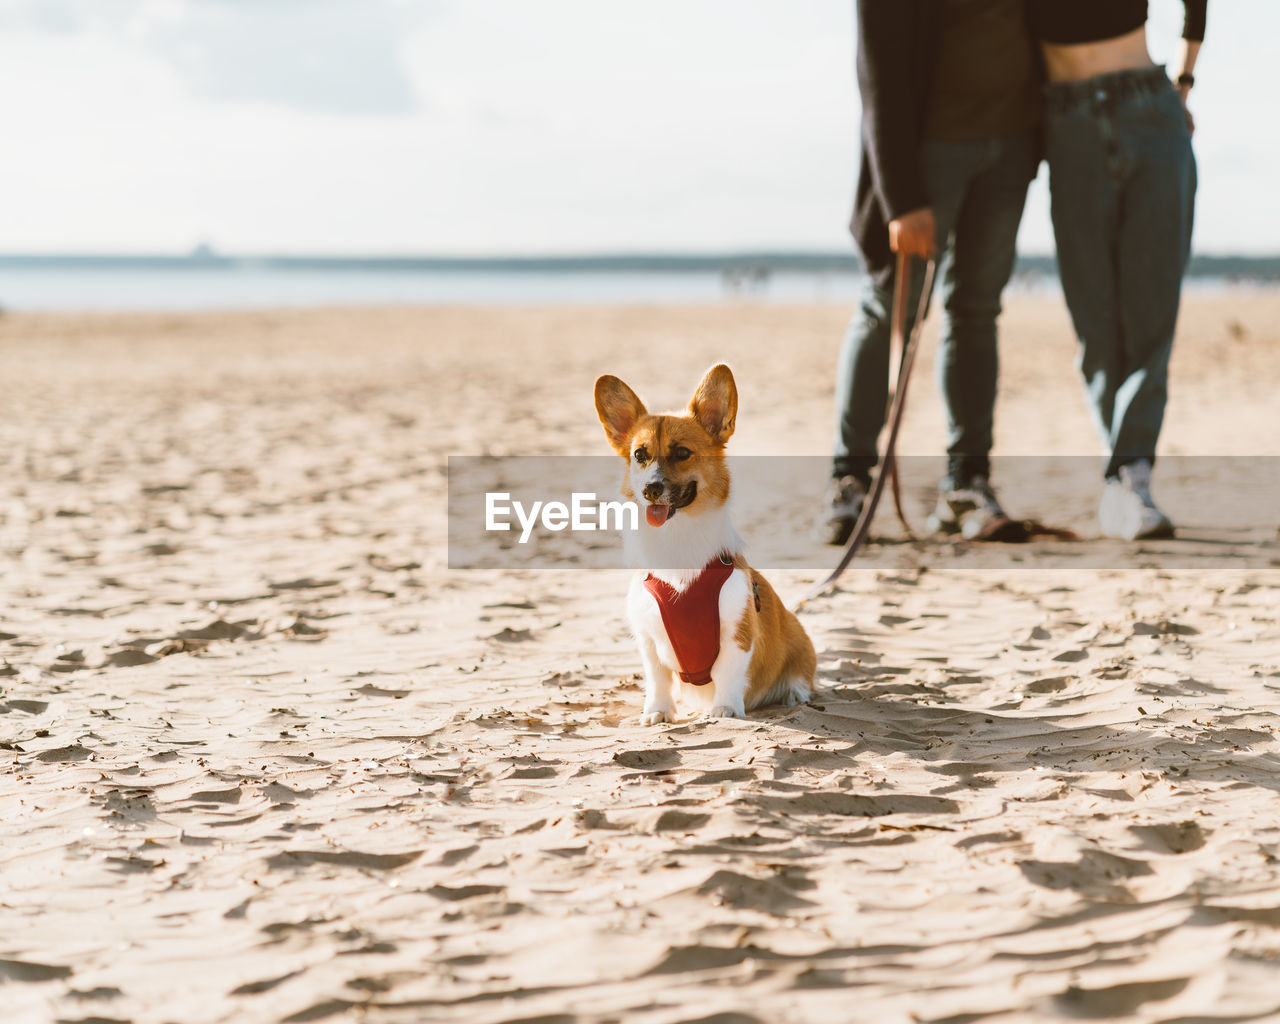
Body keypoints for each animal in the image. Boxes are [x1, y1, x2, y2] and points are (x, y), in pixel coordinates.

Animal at [593, 363, 814, 721]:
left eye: (682, 453)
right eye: (639, 455)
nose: (650, 489)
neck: (677, 538)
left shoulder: (737, 634)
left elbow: (728, 674)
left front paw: (725, 710)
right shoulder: (648, 639)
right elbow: (657, 680)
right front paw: (658, 712)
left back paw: (795, 696)